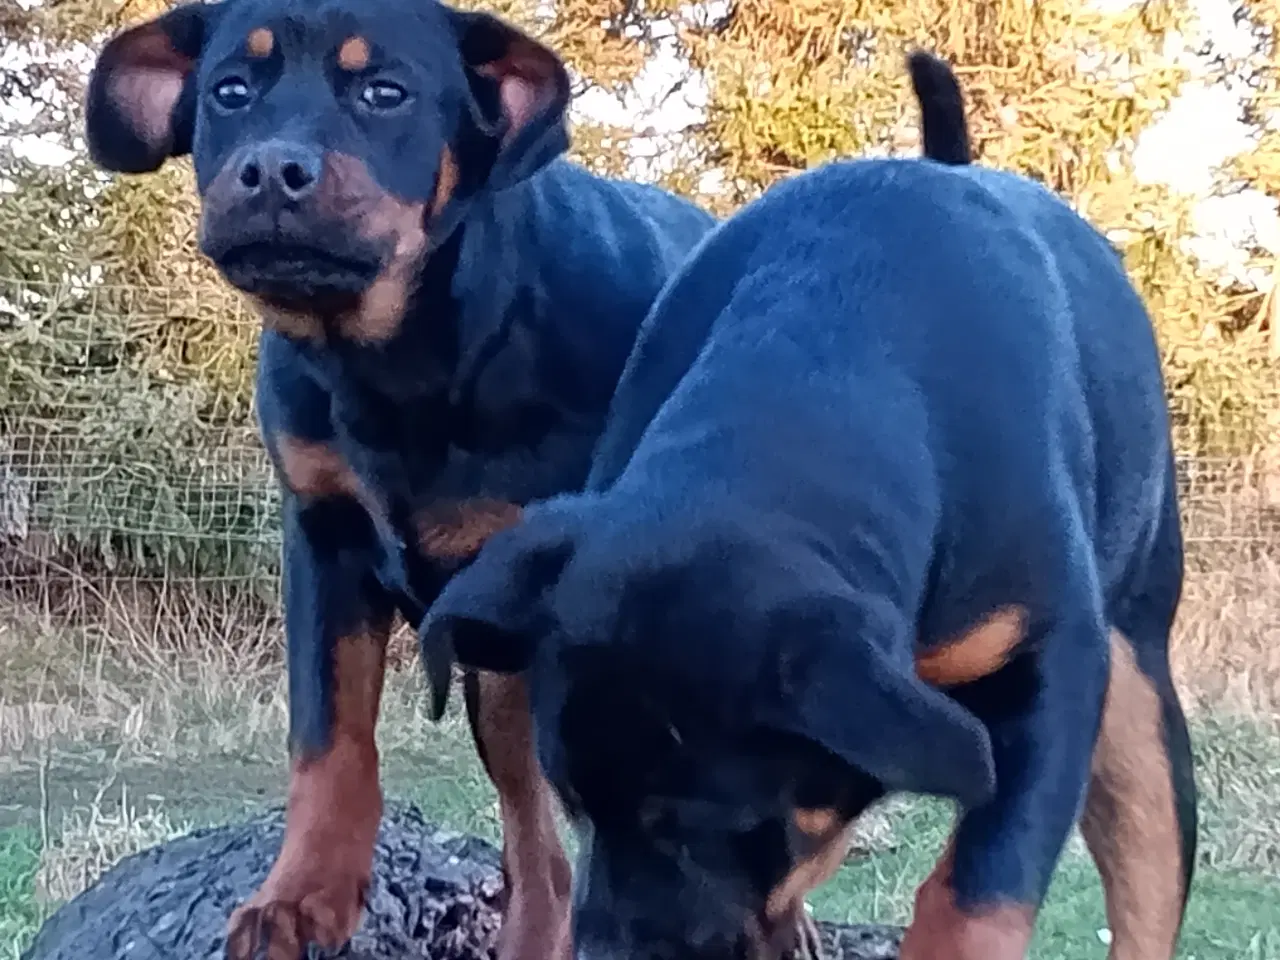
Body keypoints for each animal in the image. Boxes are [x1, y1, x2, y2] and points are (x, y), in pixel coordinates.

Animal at [424, 50, 1192, 960]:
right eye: (575, 800)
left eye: (702, 822)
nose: (610, 950)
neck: (810, 387)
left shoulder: (1055, 658)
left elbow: (981, 889)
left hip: (1141, 686)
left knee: (1150, 866)